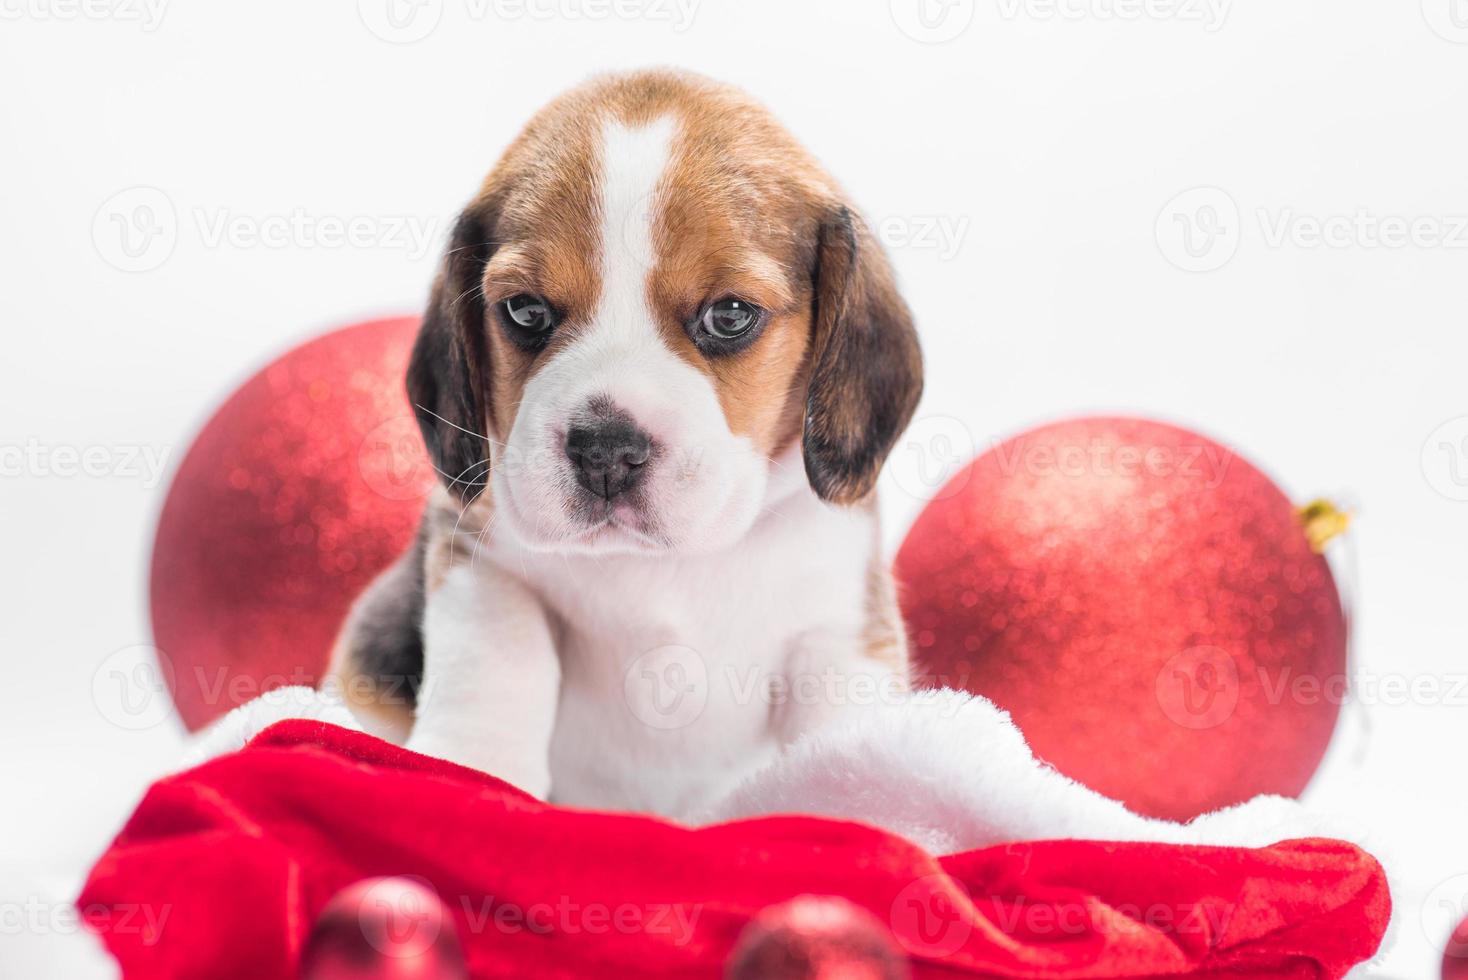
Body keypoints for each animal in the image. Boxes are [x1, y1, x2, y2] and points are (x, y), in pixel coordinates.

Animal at [330, 68, 916, 815]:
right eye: (525, 311)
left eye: (730, 315)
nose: (606, 451)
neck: (657, 567)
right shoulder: (479, 554)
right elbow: (500, 656)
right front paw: (473, 773)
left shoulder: (840, 628)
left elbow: (841, 736)